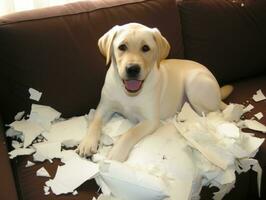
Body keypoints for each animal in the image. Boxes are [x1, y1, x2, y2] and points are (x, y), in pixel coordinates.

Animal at [76, 22, 232, 162]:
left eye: (145, 48)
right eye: (122, 47)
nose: (132, 69)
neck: (129, 93)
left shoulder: (150, 120)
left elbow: (130, 132)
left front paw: (116, 153)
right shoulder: (104, 108)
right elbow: (95, 122)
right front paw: (87, 143)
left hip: (194, 84)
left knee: (209, 114)